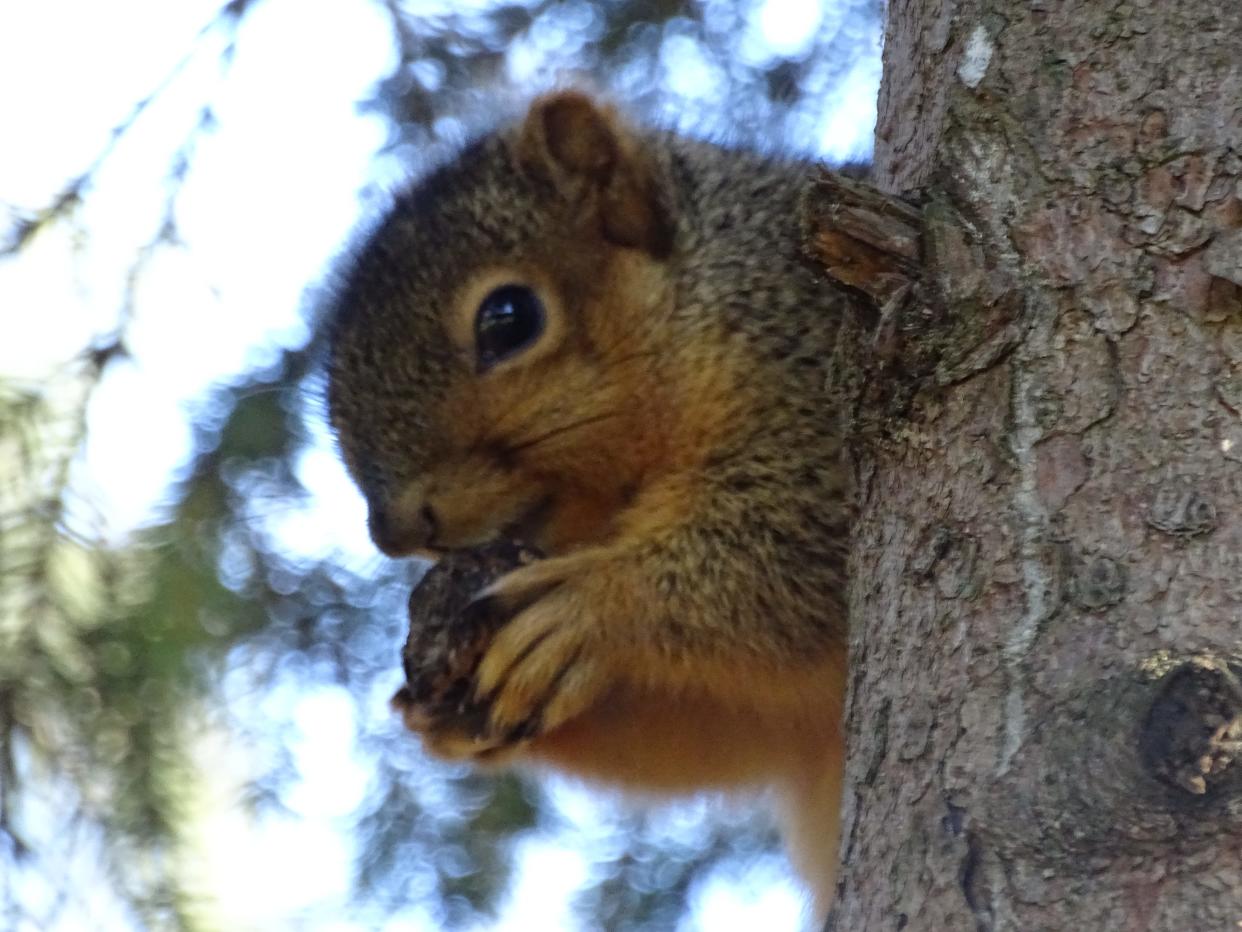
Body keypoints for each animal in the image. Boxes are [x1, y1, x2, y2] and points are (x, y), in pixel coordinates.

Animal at [325, 91, 859, 924]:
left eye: (509, 317)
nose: (396, 531)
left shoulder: (818, 369)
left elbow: (800, 546)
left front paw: (591, 606)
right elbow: (719, 729)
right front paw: (444, 711)